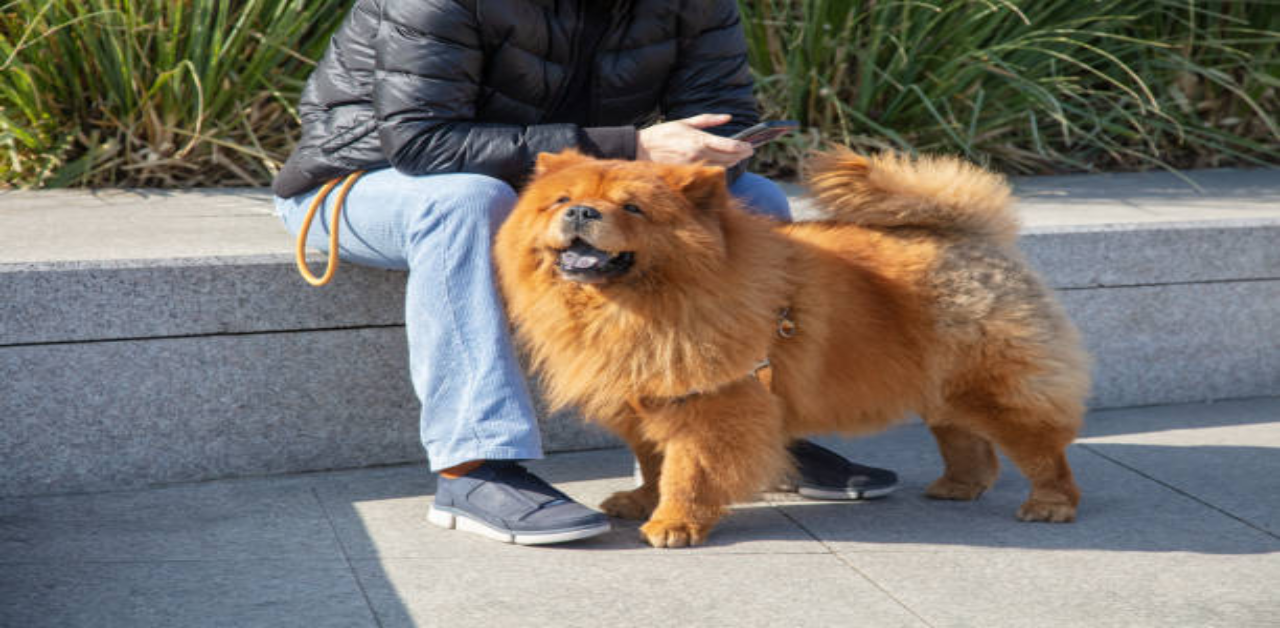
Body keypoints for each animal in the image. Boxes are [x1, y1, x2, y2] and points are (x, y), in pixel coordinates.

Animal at [488, 149, 1090, 547]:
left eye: (632, 209)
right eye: (560, 201)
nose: (581, 212)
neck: (630, 308)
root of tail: (976, 237)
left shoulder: (710, 404)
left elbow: (686, 469)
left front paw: (672, 524)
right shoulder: (647, 396)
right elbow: (653, 461)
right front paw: (639, 501)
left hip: (993, 386)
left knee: (1039, 447)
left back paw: (1048, 504)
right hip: (942, 387)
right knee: (967, 443)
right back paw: (957, 487)